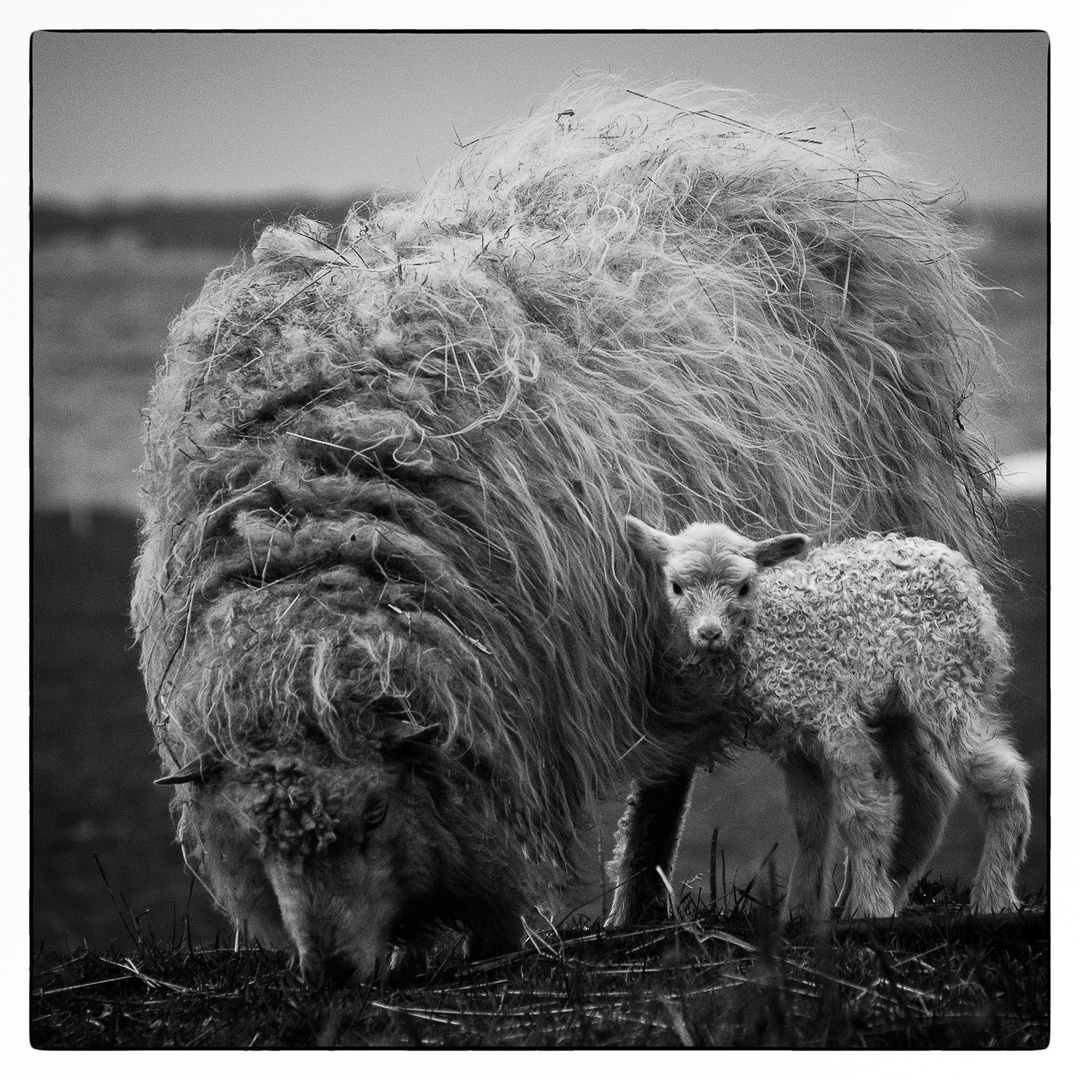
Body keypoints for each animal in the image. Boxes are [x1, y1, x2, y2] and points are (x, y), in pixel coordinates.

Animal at [613, 518, 1032, 924]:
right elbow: (810, 824)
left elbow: (861, 812)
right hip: (898, 709)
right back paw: (894, 886)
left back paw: (991, 898)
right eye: (676, 587)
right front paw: (801, 911)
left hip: (949, 678)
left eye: (745, 587)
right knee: (931, 789)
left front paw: (869, 909)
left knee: (1001, 774)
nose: (710, 634)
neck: (769, 633)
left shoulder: (834, 717)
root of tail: (952, 561)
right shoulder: (793, 740)